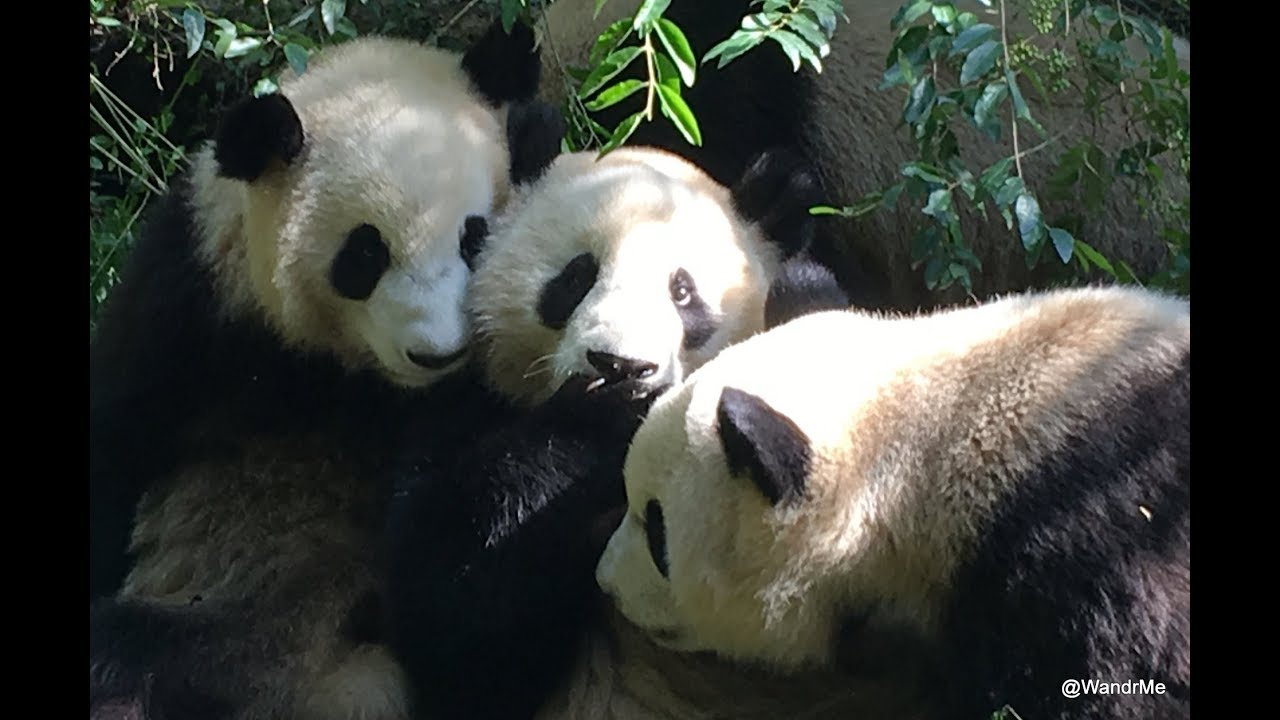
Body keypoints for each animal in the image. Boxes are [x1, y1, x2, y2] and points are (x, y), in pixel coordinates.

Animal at [88, 19, 558, 720]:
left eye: (474, 236)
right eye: (364, 255)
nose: (437, 354)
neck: (341, 373)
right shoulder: (194, 304)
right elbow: (117, 439)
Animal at [384, 142, 850, 720]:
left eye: (682, 292)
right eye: (576, 277)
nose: (622, 364)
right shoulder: (467, 404)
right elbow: (439, 596)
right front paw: (604, 419)